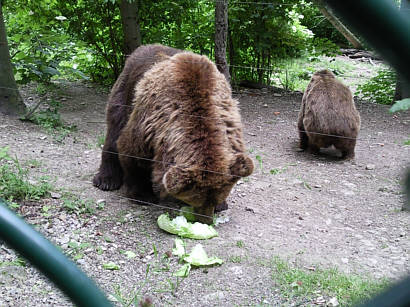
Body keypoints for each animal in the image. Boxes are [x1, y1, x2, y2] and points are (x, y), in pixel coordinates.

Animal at [93, 44, 253, 224]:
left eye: (213, 200)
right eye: (196, 200)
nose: (205, 220)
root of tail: (143, 47)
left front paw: (222, 205)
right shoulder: (148, 122)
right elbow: (131, 152)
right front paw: (143, 194)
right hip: (124, 91)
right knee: (113, 132)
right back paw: (106, 180)